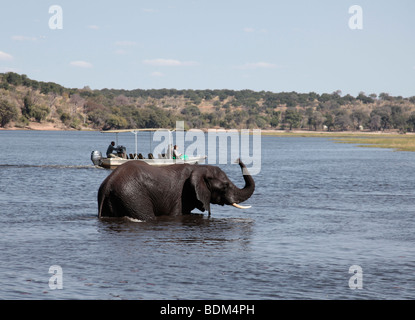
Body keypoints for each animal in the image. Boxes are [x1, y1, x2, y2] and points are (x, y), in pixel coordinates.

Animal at [98, 158, 255, 220]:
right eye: (225, 186)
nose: (237, 159)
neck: (199, 168)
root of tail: (108, 185)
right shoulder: (179, 198)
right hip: (133, 196)